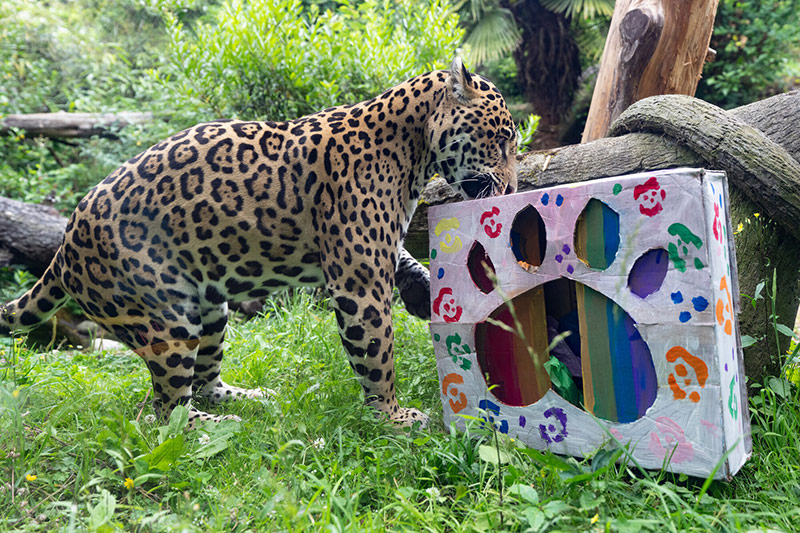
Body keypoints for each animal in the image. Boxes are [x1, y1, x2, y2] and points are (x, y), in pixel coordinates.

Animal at [0, 58, 517, 428]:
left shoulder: (373, 251)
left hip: (209, 311)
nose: (512, 187)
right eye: (504, 139)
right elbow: (376, 354)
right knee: (164, 414)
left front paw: (421, 286)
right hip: (166, 321)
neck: (413, 148)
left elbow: (404, 261)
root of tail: (64, 248)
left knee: (202, 383)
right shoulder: (358, 280)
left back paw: (251, 399)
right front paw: (393, 417)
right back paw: (215, 428)